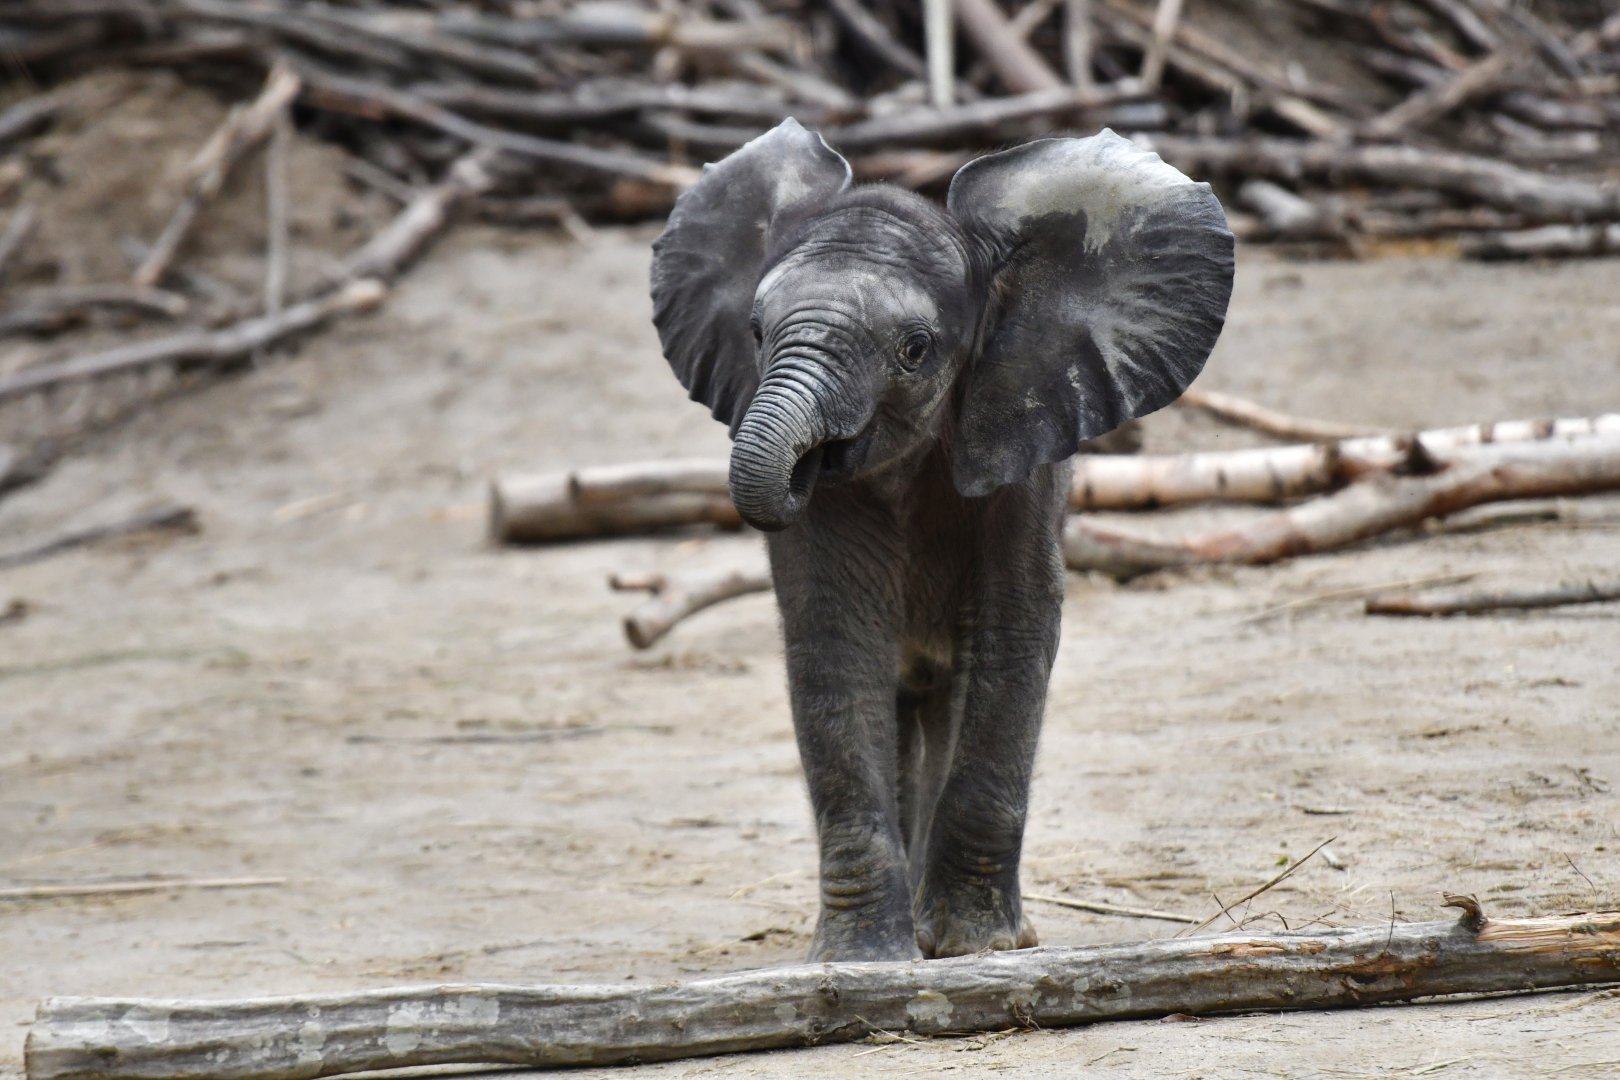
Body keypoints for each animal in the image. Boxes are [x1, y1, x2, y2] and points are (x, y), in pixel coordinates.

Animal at [648, 120, 1234, 962]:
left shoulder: (1022, 438)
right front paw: (862, 960)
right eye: (756, 333)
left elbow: (1017, 630)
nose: (801, 465)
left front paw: (972, 949)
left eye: (916, 349)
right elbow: (834, 644)